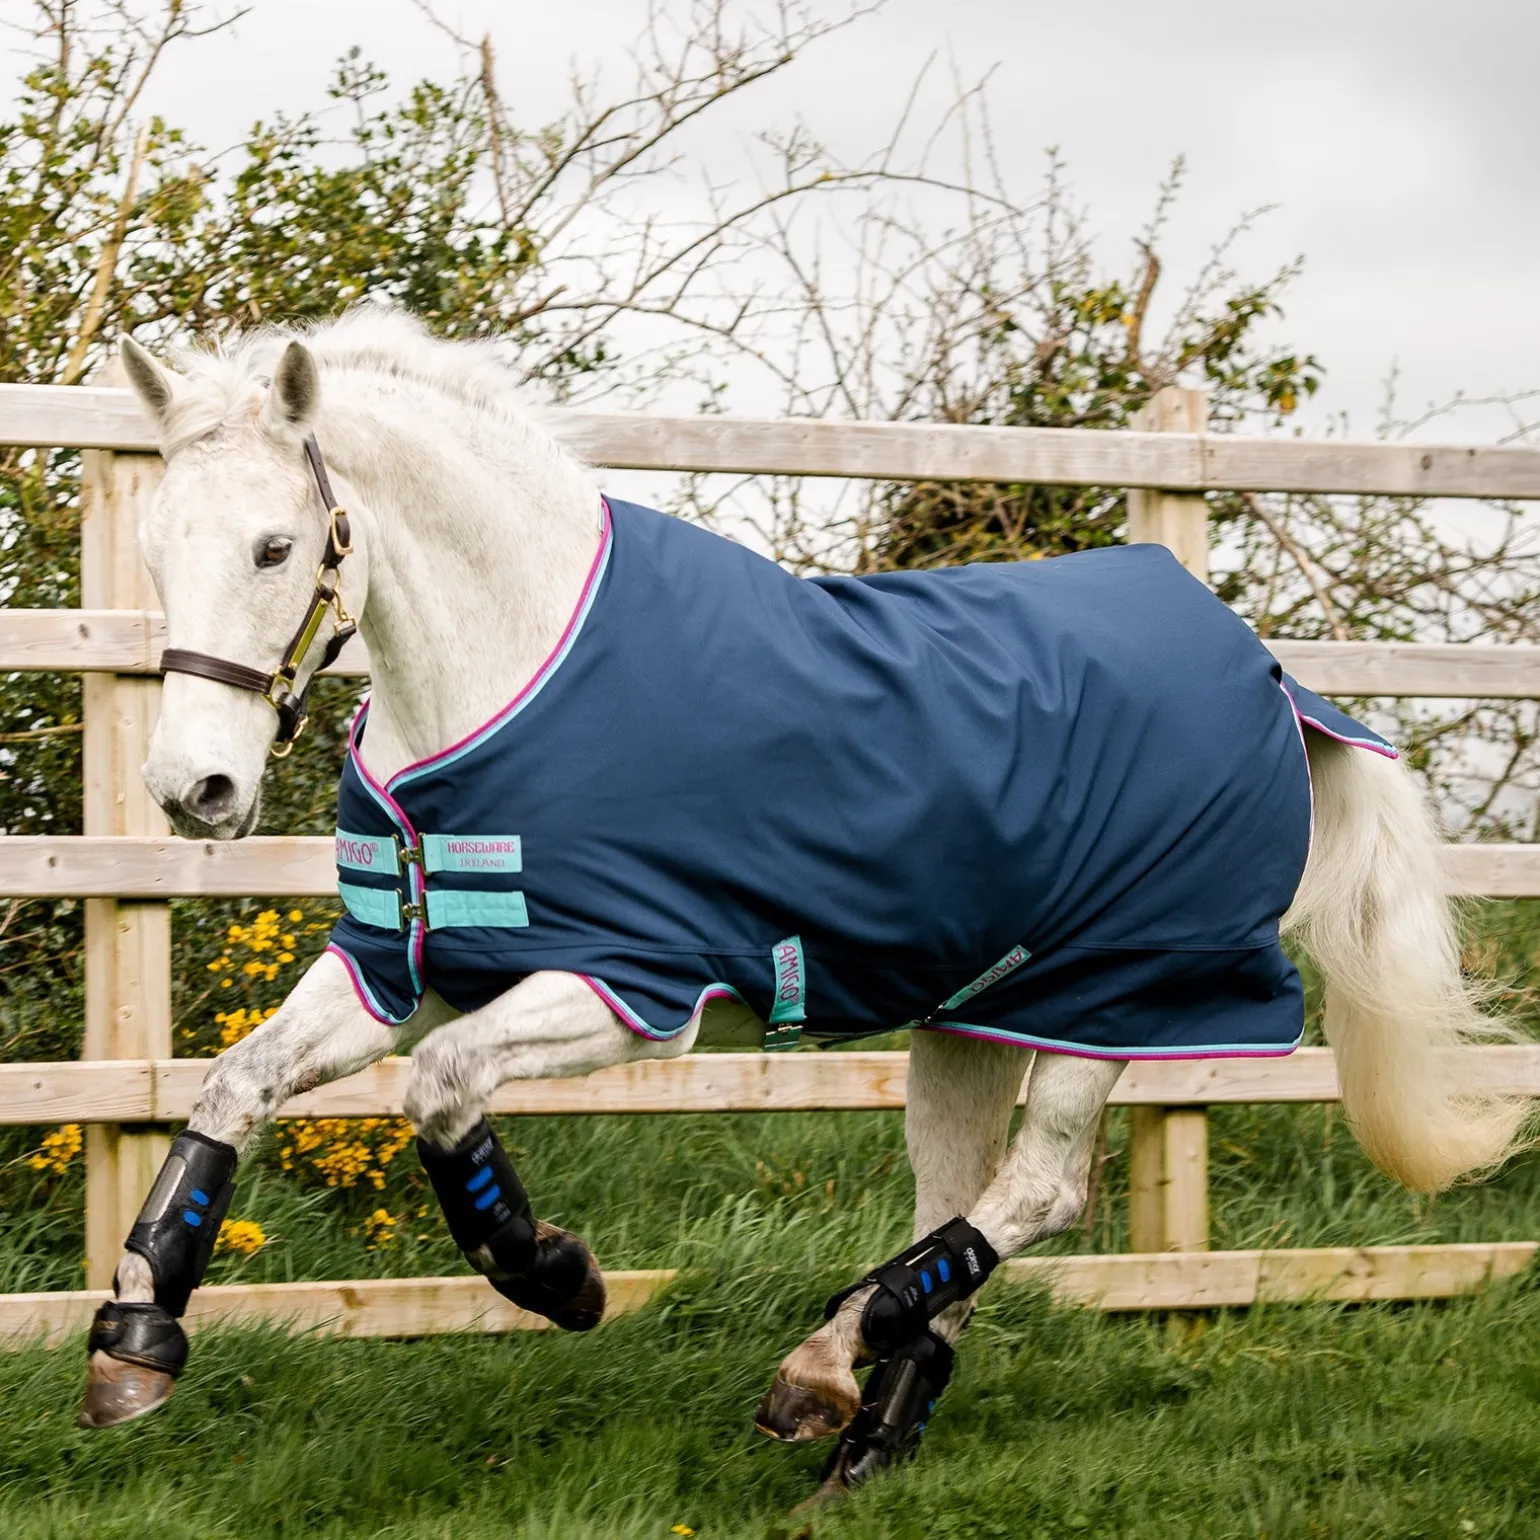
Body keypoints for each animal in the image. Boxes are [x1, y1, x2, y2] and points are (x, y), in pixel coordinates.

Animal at [78, 310, 1528, 1503]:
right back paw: (861, 1433)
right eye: (156, 546)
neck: (513, 677)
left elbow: (441, 1092)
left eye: (275, 546)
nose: (194, 789)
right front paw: (135, 1346)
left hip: (1119, 1002)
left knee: (1039, 1193)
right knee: (967, 1201)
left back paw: (823, 1360)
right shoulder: (398, 965)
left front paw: (556, 1275)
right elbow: (232, 1087)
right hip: (970, 1021)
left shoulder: (630, 987)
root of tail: (1277, 681)